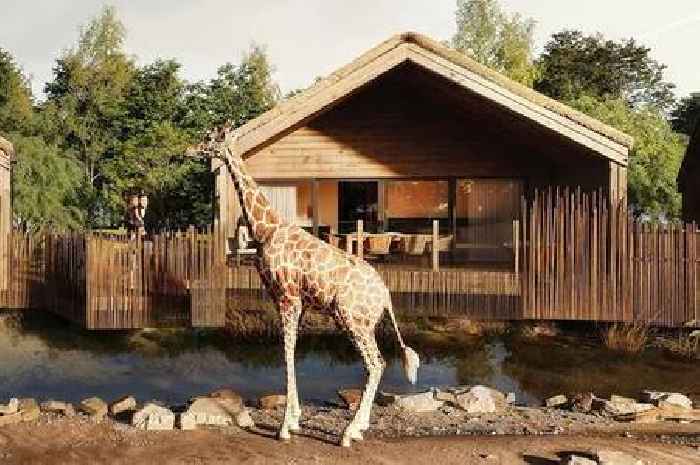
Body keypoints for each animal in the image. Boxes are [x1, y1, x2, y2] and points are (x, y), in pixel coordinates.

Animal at [189, 124, 418, 446]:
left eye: (210, 139)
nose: (189, 149)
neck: (266, 229)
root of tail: (385, 295)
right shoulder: (297, 302)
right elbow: (293, 351)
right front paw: (295, 420)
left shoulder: (287, 298)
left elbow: (286, 352)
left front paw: (284, 428)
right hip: (365, 323)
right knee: (380, 362)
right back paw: (359, 427)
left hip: (351, 319)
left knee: (374, 363)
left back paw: (347, 434)